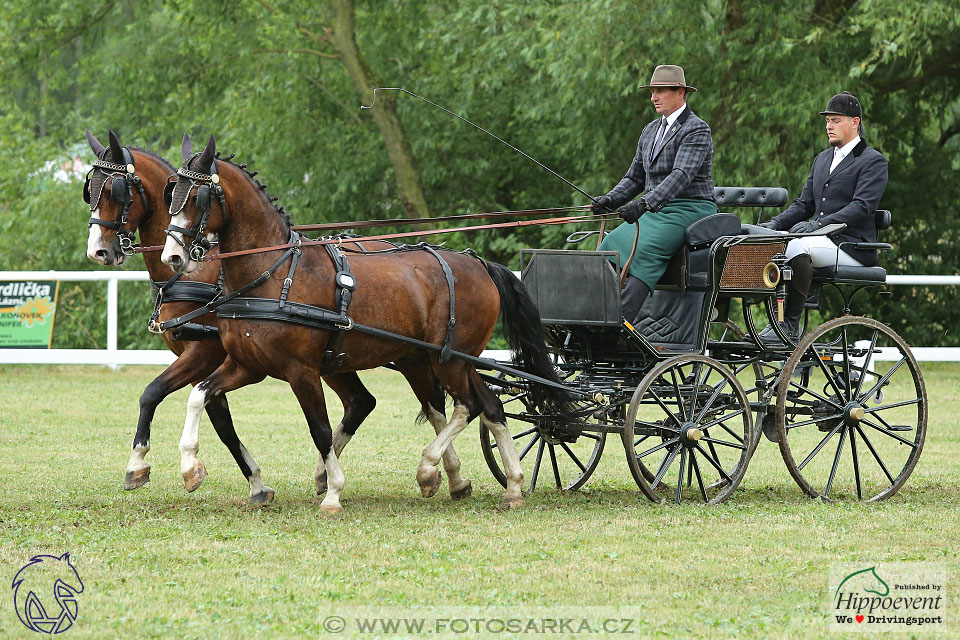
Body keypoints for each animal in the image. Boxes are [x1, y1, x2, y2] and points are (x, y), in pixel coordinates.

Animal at [84, 129, 392, 500]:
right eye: (90, 191)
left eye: (115, 190)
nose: (98, 251)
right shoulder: (212, 360)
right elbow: (217, 420)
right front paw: (255, 482)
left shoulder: (204, 353)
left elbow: (155, 393)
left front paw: (147, 463)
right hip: (334, 359)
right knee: (360, 401)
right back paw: (324, 474)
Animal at [159, 134, 568, 510]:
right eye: (171, 193)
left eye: (198, 198)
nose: (173, 256)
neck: (272, 273)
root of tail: (480, 265)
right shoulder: (247, 365)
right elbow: (198, 395)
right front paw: (190, 467)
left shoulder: (301, 370)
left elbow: (320, 430)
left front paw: (333, 491)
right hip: (444, 361)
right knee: (491, 406)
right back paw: (512, 485)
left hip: (450, 359)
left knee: (468, 406)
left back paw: (429, 468)